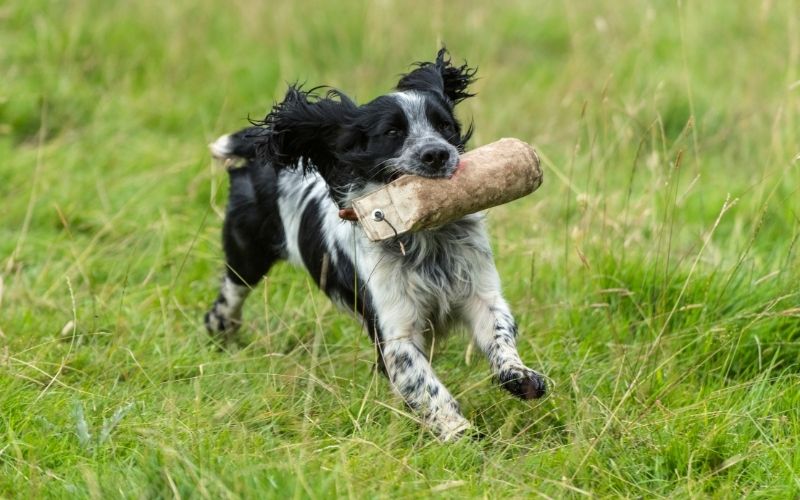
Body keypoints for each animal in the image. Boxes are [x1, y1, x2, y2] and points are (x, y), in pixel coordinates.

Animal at [203, 49, 548, 442]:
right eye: (392, 132)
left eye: (445, 126)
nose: (437, 154)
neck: (426, 239)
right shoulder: (395, 330)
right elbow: (424, 383)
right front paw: (458, 433)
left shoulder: (479, 292)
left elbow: (499, 332)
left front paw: (519, 376)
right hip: (245, 254)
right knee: (228, 297)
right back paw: (222, 334)